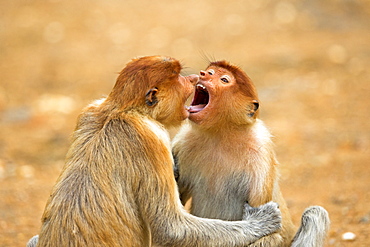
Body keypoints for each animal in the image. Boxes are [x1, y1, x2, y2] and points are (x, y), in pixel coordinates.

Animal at [26, 56, 280, 247]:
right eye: (178, 77)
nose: (196, 77)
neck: (120, 110)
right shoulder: (152, 139)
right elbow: (170, 227)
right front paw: (263, 221)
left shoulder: (89, 110)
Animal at [171, 60, 330, 247]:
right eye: (211, 71)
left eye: (224, 79)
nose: (203, 74)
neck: (221, 133)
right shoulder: (184, 140)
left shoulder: (260, 151)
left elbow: (271, 233)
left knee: (315, 214)